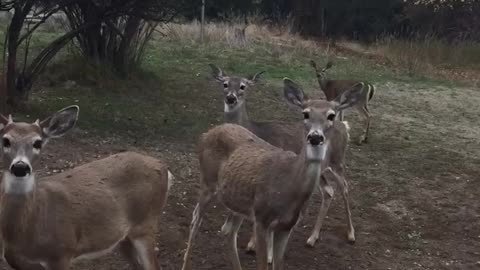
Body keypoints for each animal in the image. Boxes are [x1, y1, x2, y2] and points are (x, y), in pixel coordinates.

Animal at [0, 105, 174, 270]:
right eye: (5, 140)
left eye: (38, 143)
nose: (20, 167)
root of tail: (164, 167)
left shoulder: (62, 252)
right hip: (124, 237)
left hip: (145, 224)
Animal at [182, 78, 362, 270]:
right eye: (305, 114)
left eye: (331, 115)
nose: (315, 137)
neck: (289, 184)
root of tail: (206, 133)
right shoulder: (262, 219)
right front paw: (257, 250)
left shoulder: (285, 226)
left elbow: (278, 263)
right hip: (208, 181)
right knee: (196, 220)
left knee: (228, 230)